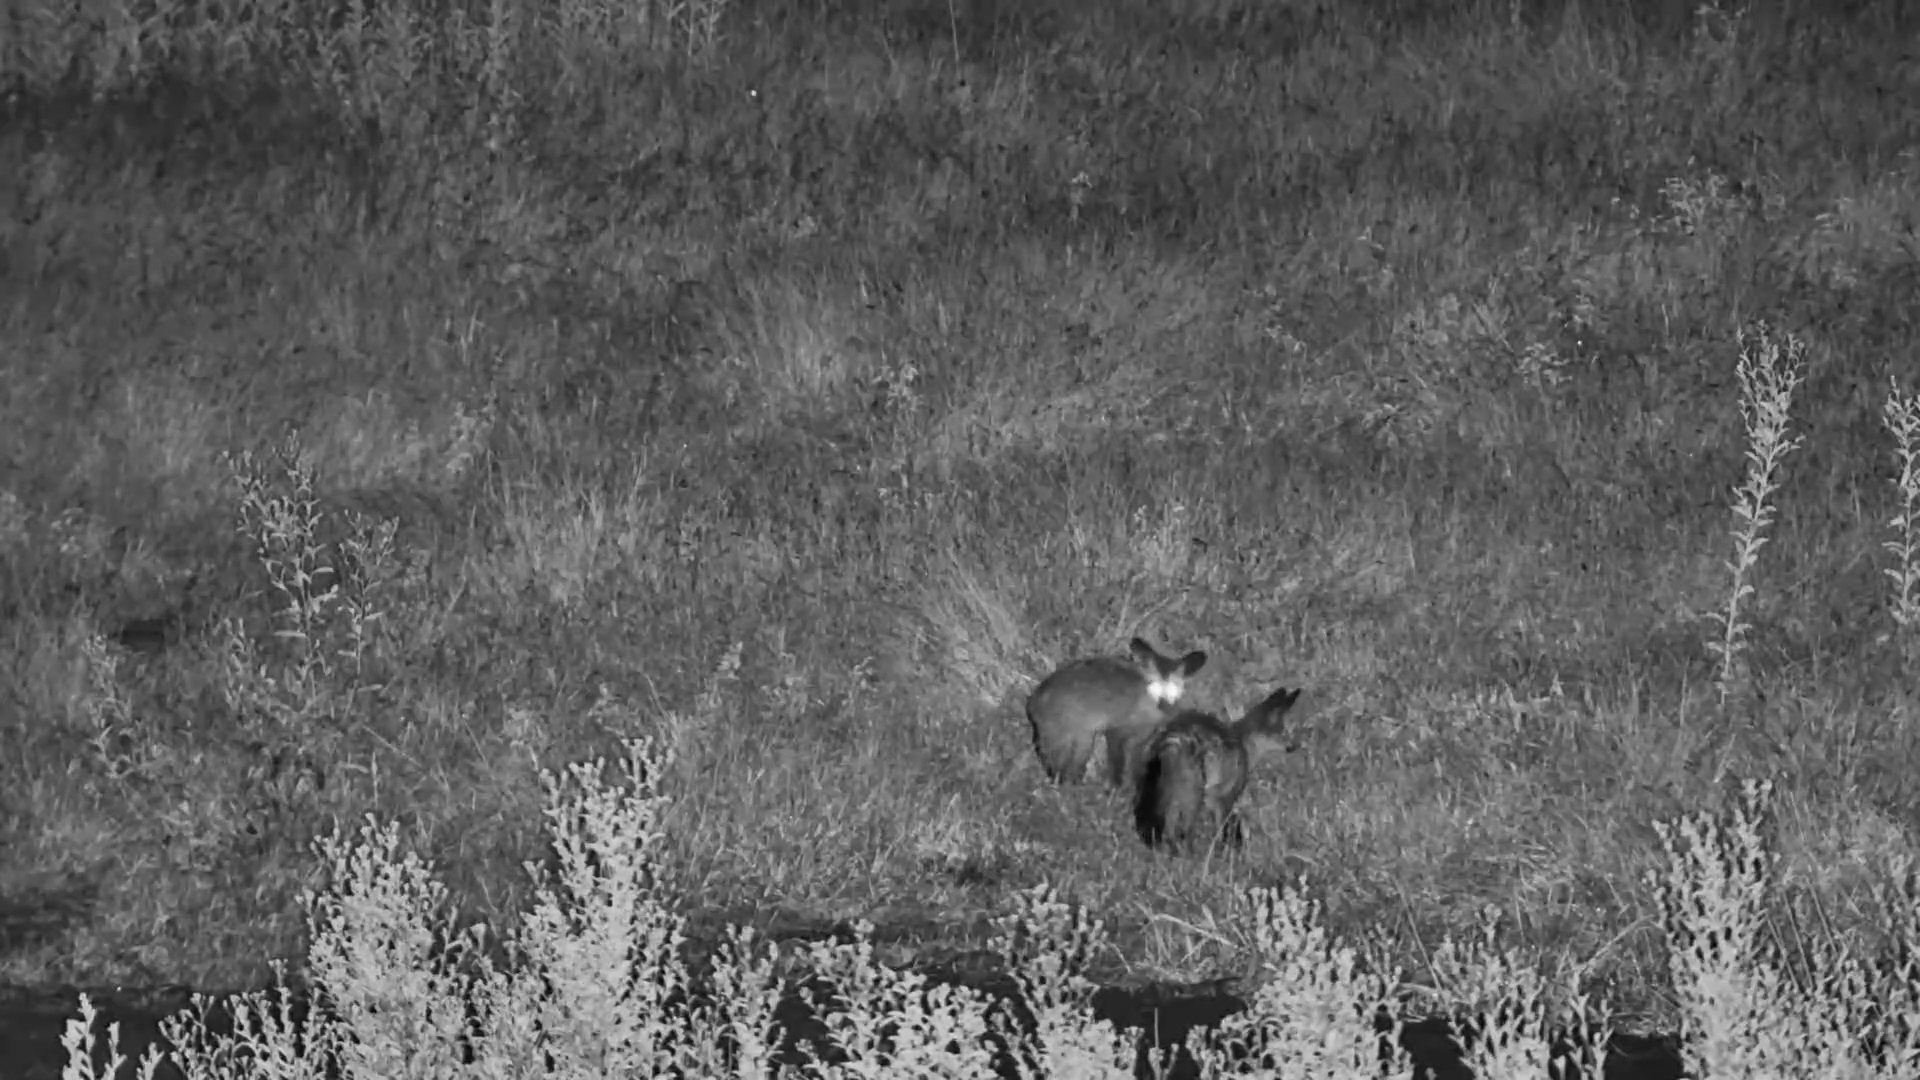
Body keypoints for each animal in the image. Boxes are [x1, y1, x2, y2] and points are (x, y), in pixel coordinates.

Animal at [1026, 638, 1207, 787]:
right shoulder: (1117, 728)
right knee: (1060, 768)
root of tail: (1035, 703)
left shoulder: (1141, 734)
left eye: (1174, 689)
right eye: (1154, 686)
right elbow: (1118, 760)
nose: (1164, 705)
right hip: (1078, 736)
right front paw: (1117, 788)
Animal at [1134, 685, 1303, 854]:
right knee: (1183, 828)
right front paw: (1222, 853)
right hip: (1192, 789)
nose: (1295, 746)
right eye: (1284, 732)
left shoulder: (1212, 795)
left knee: (1164, 823)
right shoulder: (1225, 795)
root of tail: (1170, 739)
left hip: (1157, 782)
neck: (1245, 744)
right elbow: (1221, 830)